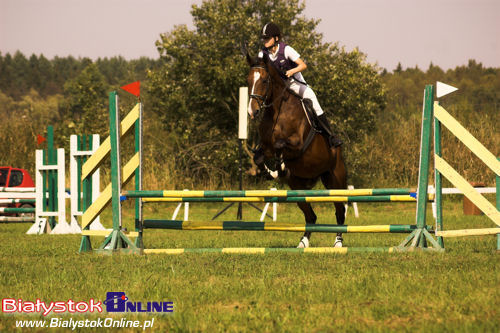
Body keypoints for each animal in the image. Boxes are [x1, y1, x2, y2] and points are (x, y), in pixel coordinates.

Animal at [246, 53, 348, 248]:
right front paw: (273, 172)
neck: (277, 111)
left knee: (340, 212)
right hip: (297, 186)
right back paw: (303, 242)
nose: (252, 111)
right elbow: (259, 157)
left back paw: (338, 242)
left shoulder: (298, 144)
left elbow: (280, 145)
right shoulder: (266, 148)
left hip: (335, 180)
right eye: (248, 81)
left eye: (264, 80)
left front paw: (280, 167)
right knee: (310, 216)